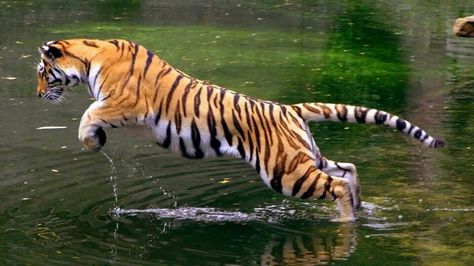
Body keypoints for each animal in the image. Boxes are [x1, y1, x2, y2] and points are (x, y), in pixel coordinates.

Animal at [36, 38, 444, 221]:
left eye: (42, 72)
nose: (38, 94)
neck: (90, 55)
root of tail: (289, 108)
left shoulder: (123, 102)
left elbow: (87, 115)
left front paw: (93, 141)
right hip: (304, 157)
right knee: (348, 169)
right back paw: (360, 209)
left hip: (285, 171)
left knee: (337, 184)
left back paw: (347, 219)